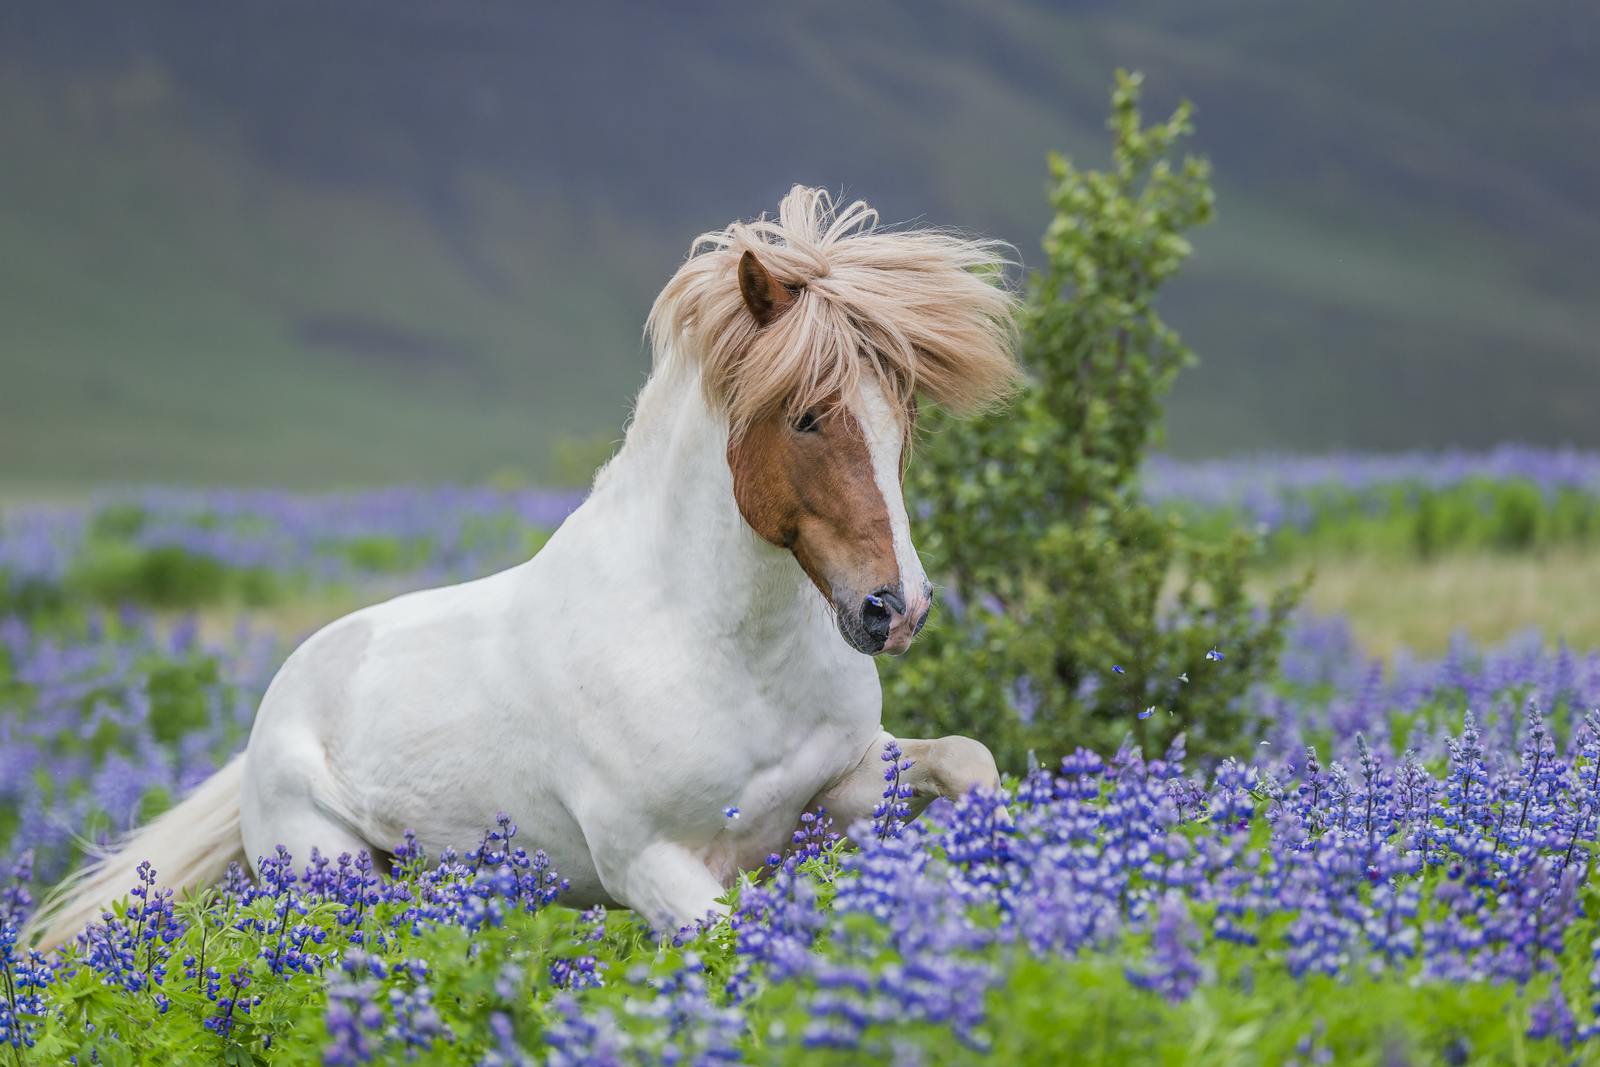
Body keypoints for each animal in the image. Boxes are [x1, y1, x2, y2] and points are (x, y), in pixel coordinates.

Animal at [31, 187, 1017, 947]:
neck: (726, 651)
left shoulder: (838, 786)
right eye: (808, 414)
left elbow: (969, 760)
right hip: (335, 877)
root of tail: (268, 714)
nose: (897, 608)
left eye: (903, 417)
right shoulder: (653, 865)